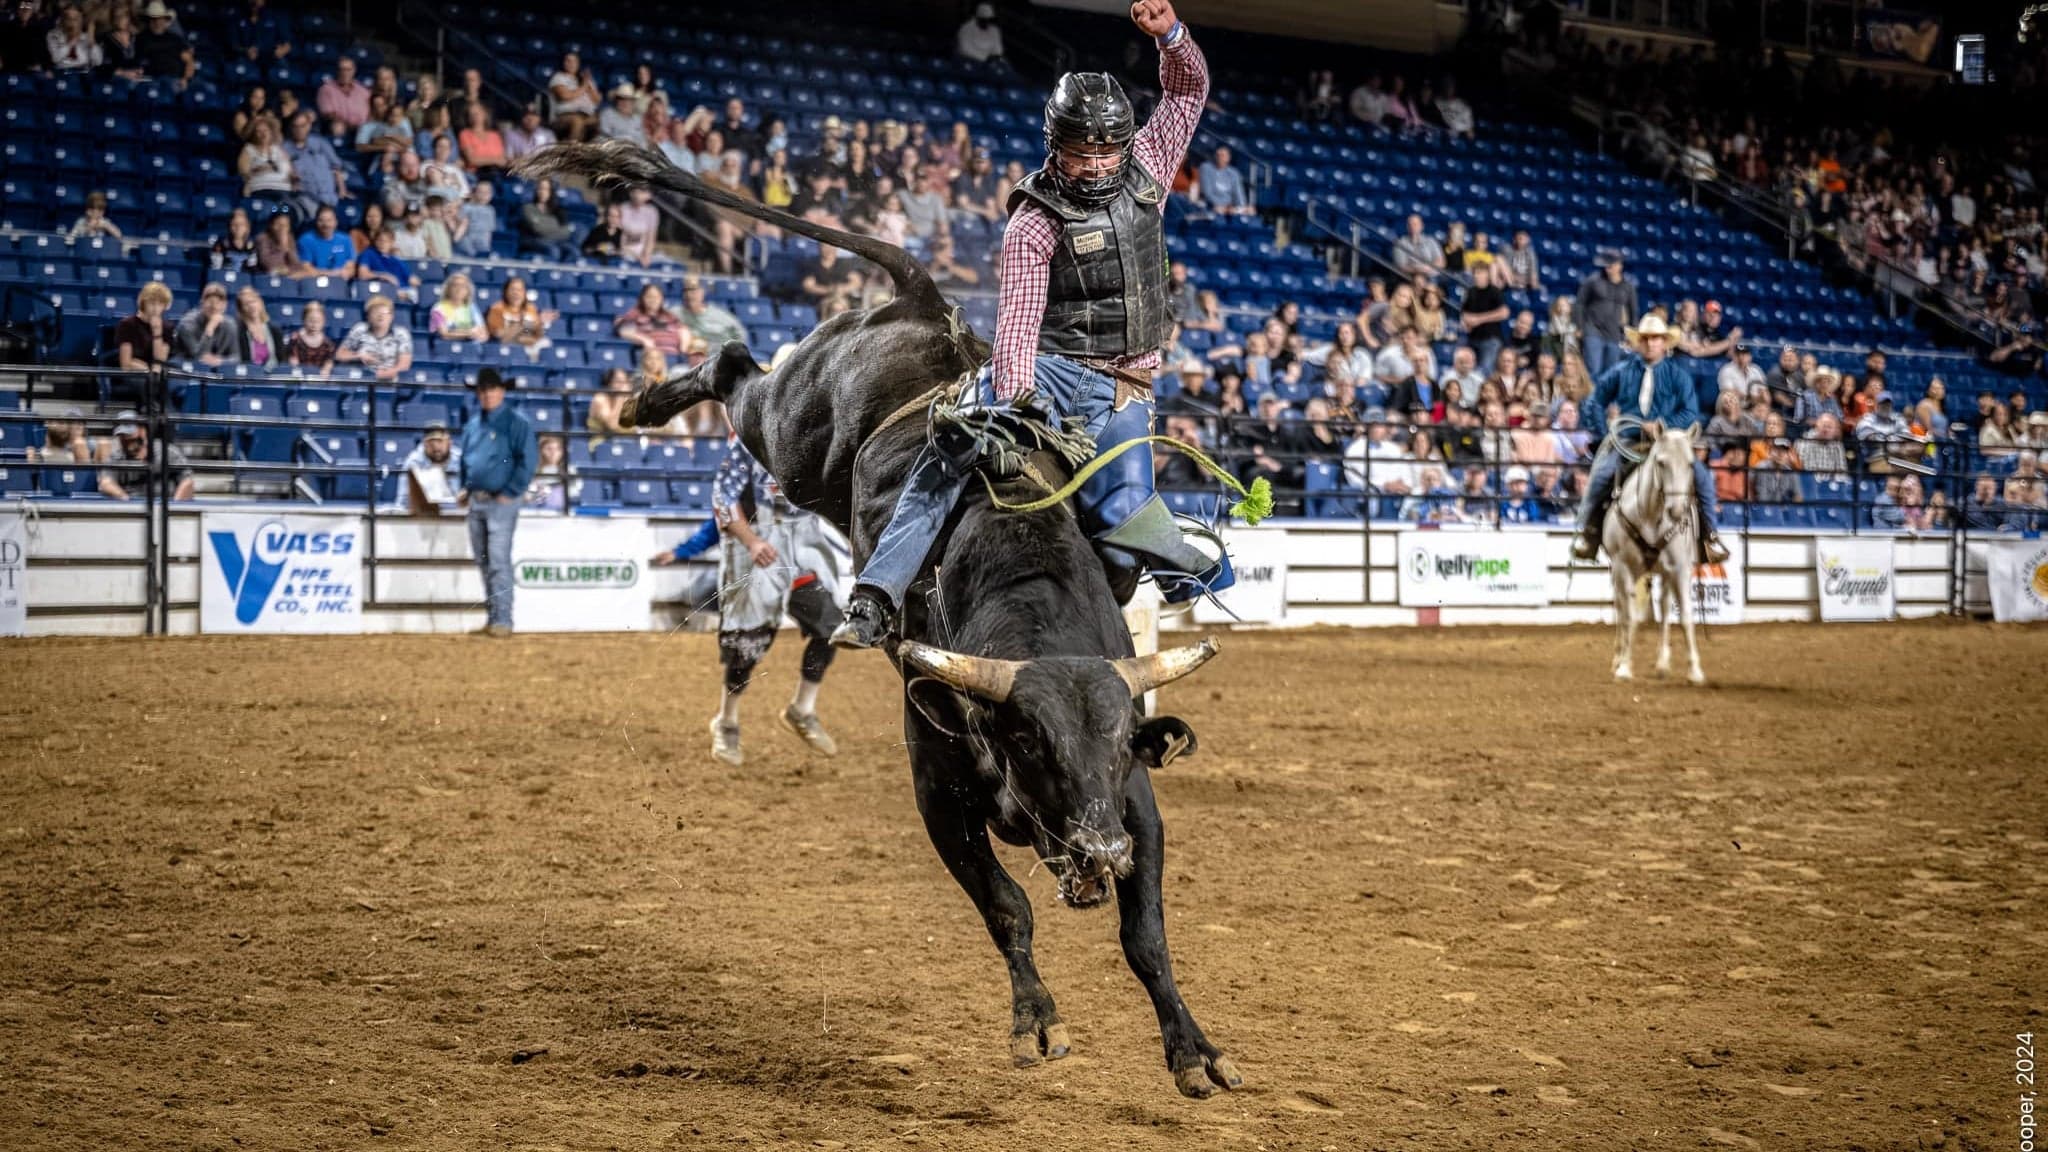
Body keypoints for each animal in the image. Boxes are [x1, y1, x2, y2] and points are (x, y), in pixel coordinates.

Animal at [516, 141, 1243, 1098]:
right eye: (1029, 741)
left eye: (1122, 741)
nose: (1099, 852)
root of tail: (923, 304)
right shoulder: (937, 784)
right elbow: (1008, 908)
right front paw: (1037, 1022)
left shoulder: (1136, 805)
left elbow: (1144, 936)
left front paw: (1194, 1049)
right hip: (790, 433)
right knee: (735, 366)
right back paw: (648, 403)